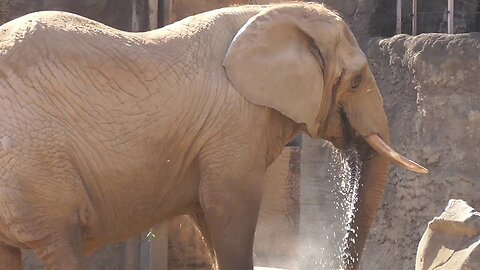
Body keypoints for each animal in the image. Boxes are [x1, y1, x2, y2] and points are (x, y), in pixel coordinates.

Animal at [0, 2, 426, 270]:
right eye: (355, 81)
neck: (271, 12)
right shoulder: (235, 122)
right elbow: (228, 205)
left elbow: (206, 209)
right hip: (36, 166)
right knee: (62, 242)